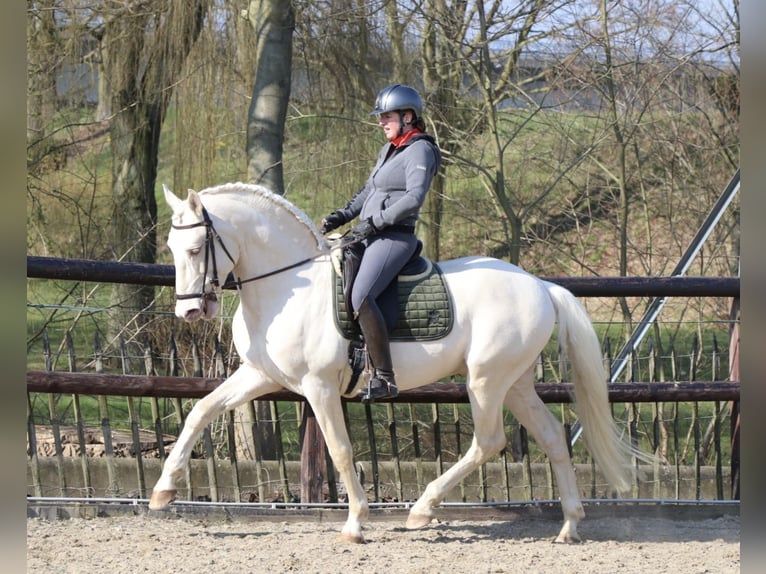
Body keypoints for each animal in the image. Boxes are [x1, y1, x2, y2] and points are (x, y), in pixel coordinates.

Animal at [153, 182, 644, 548]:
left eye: (196, 248)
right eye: (172, 247)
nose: (189, 311)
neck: (288, 285)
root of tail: (541, 285)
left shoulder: (319, 387)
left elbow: (340, 450)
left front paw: (355, 524)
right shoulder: (260, 375)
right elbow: (201, 411)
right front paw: (163, 491)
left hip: (486, 380)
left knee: (489, 441)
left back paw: (423, 509)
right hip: (516, 382)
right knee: (552, 437)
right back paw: (569, 526)